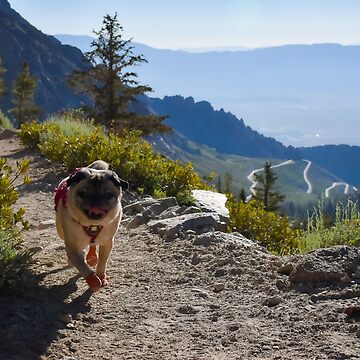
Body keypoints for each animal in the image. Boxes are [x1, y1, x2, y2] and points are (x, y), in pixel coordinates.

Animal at [54, 161, 129, 292]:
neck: (92, 224)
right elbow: (82, 266)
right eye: (83, 194)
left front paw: (100, 276)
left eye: (109, 195)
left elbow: (102, 262)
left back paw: (92, 257)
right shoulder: (72, 248)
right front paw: (93, 281)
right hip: (61, 232)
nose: (96, 200)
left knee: (93, 244)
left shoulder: (107, 243)